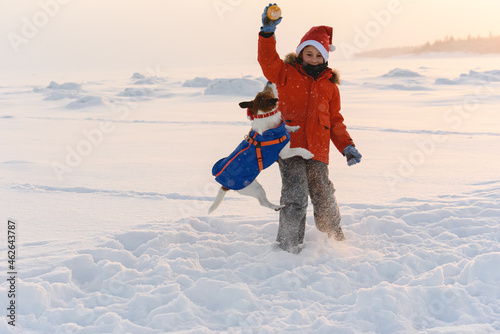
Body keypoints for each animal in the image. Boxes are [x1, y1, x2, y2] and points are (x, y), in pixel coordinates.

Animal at [208, 81, 312, 213]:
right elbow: (298, 149)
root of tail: (224, 185)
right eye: (269, 92)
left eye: (261, 92)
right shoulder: (284, 152)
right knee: (262, 202)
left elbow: (286, 127)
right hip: (254, 187)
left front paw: (293, 128)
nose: (269, 81)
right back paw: (276, 206)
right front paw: (308, 153)